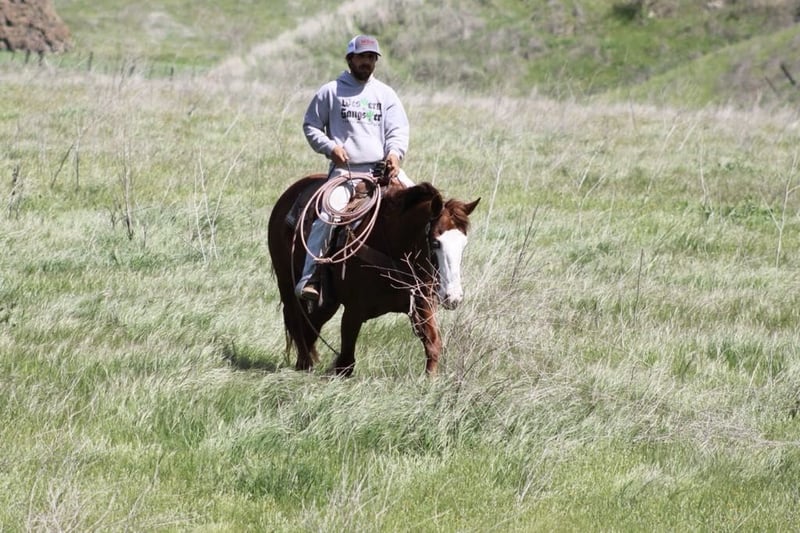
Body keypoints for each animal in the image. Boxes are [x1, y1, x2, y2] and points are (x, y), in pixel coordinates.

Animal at [267, 174, 480, 376]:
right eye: (436, 242)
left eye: (463, 244)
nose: (453, 297)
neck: (393, 245)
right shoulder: (353, 311)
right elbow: (346, 363)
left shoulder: (422, 304)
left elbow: (433, 345)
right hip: (286, 282)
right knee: (295, 318)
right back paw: (305, 364)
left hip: (328, 301)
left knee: (311, 324)